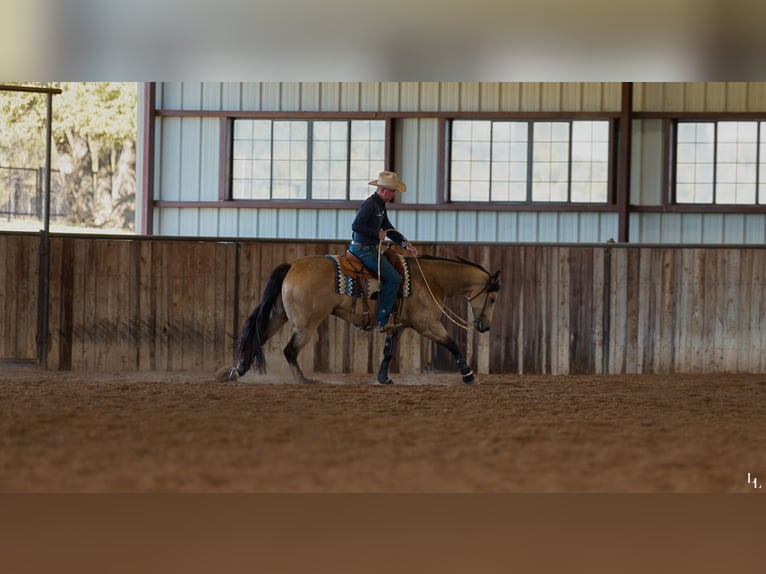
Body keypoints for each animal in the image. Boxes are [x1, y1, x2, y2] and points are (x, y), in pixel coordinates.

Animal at [225, 247, 501, 385]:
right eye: (493, 298)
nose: (486, 326)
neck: (430, 280)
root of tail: (292, 265)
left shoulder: (397, 325)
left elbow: (388, 352)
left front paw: (383, 378)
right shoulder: (428, 324)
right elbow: (451, 344)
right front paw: (468, 374)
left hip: (278, 315)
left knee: (258, 338)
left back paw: (237, 372)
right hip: (306, 324)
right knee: (289, 350)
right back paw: (303, 380)